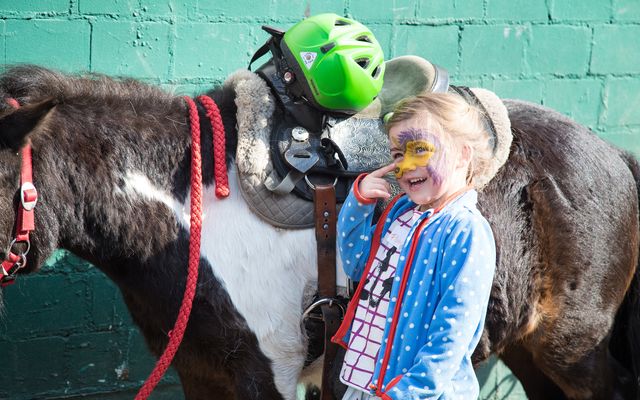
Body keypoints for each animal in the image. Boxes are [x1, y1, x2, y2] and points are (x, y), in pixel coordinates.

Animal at [0, 64, 636, 398]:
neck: (187, 212)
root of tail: (615, 156)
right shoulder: (202, 373)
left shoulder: (269, 374)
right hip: (530, 349)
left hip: (573, 349)